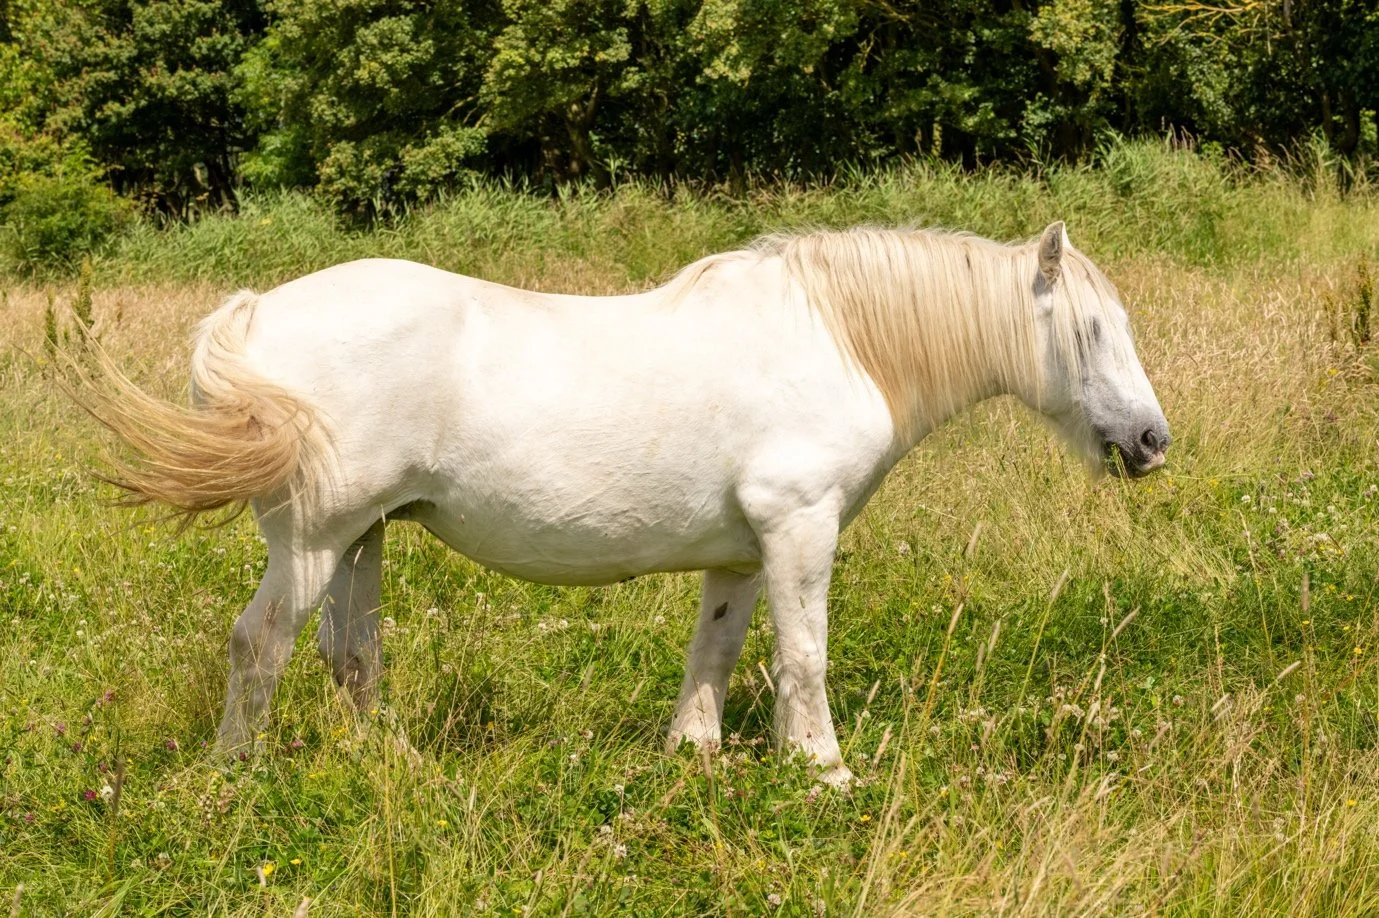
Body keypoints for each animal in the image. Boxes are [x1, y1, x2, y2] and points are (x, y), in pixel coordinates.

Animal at [81, 220, 1169, 784]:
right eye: (1088, 329)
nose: (1151, 443)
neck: (840, 340)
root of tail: (257, 310)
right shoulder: (798, 526)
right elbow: (803, 657)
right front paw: (824, 775)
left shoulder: (741, 551)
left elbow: (717, 652)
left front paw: (693, 756)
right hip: (309, 545)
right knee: (259, 646)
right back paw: (235, 777)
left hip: (360, 541)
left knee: (350, 657)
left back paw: (398, 768)